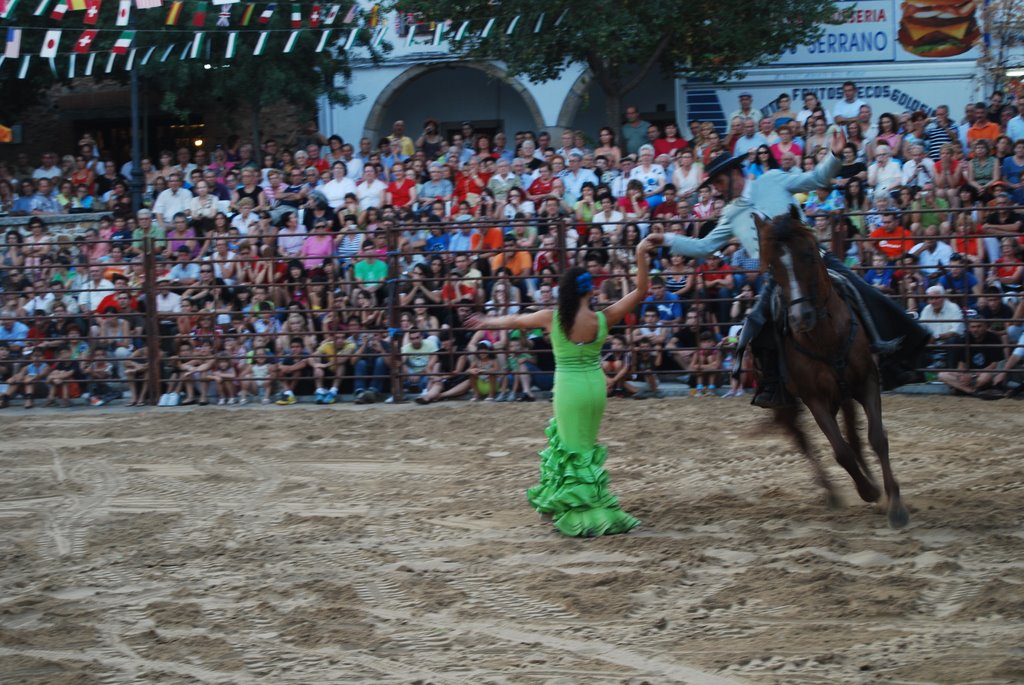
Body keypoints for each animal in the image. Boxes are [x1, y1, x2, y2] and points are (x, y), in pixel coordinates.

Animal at [753, 204, 913, 528]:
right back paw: (834, 493)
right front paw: (868, 491)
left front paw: (893, 504)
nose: (800, 317)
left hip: (844, 395)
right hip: (788, 406)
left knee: (853, 436)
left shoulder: (866, 381)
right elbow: (840, 452)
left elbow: (876, 438)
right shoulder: (814, 399)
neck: (825, 337)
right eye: (772, 266)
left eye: (809, 255)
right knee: (803, 441)